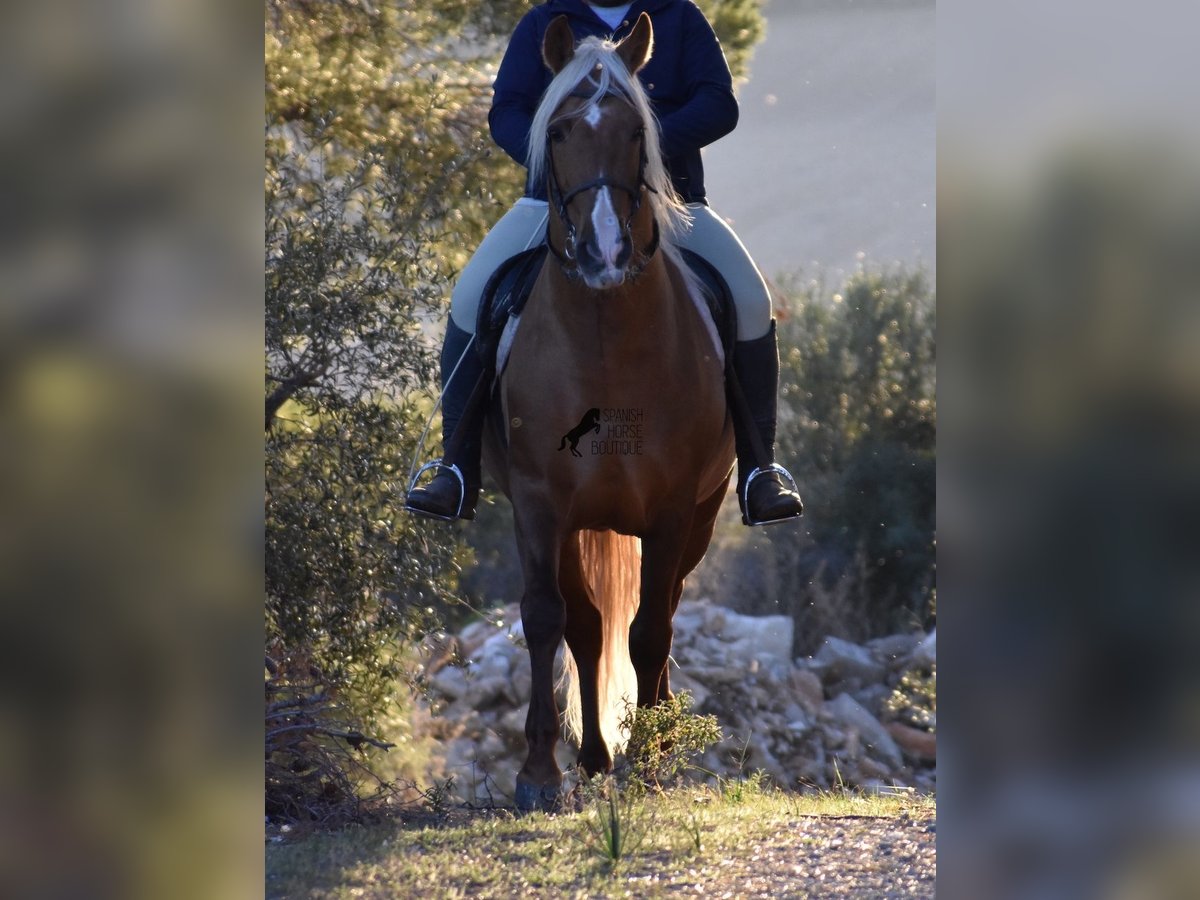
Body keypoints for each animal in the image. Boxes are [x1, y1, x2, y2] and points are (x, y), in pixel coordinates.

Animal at [482, 14, 734, 816]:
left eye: (634, 131)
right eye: (560, 130)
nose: (603, 251)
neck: (602, 333)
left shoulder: (675, 505)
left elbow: (651, 629)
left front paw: (652, 761)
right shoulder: (538, 502)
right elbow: (545, 619)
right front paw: (539, 773)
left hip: (701, 515)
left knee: (659, 614)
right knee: (587, 626)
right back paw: (591, 756)